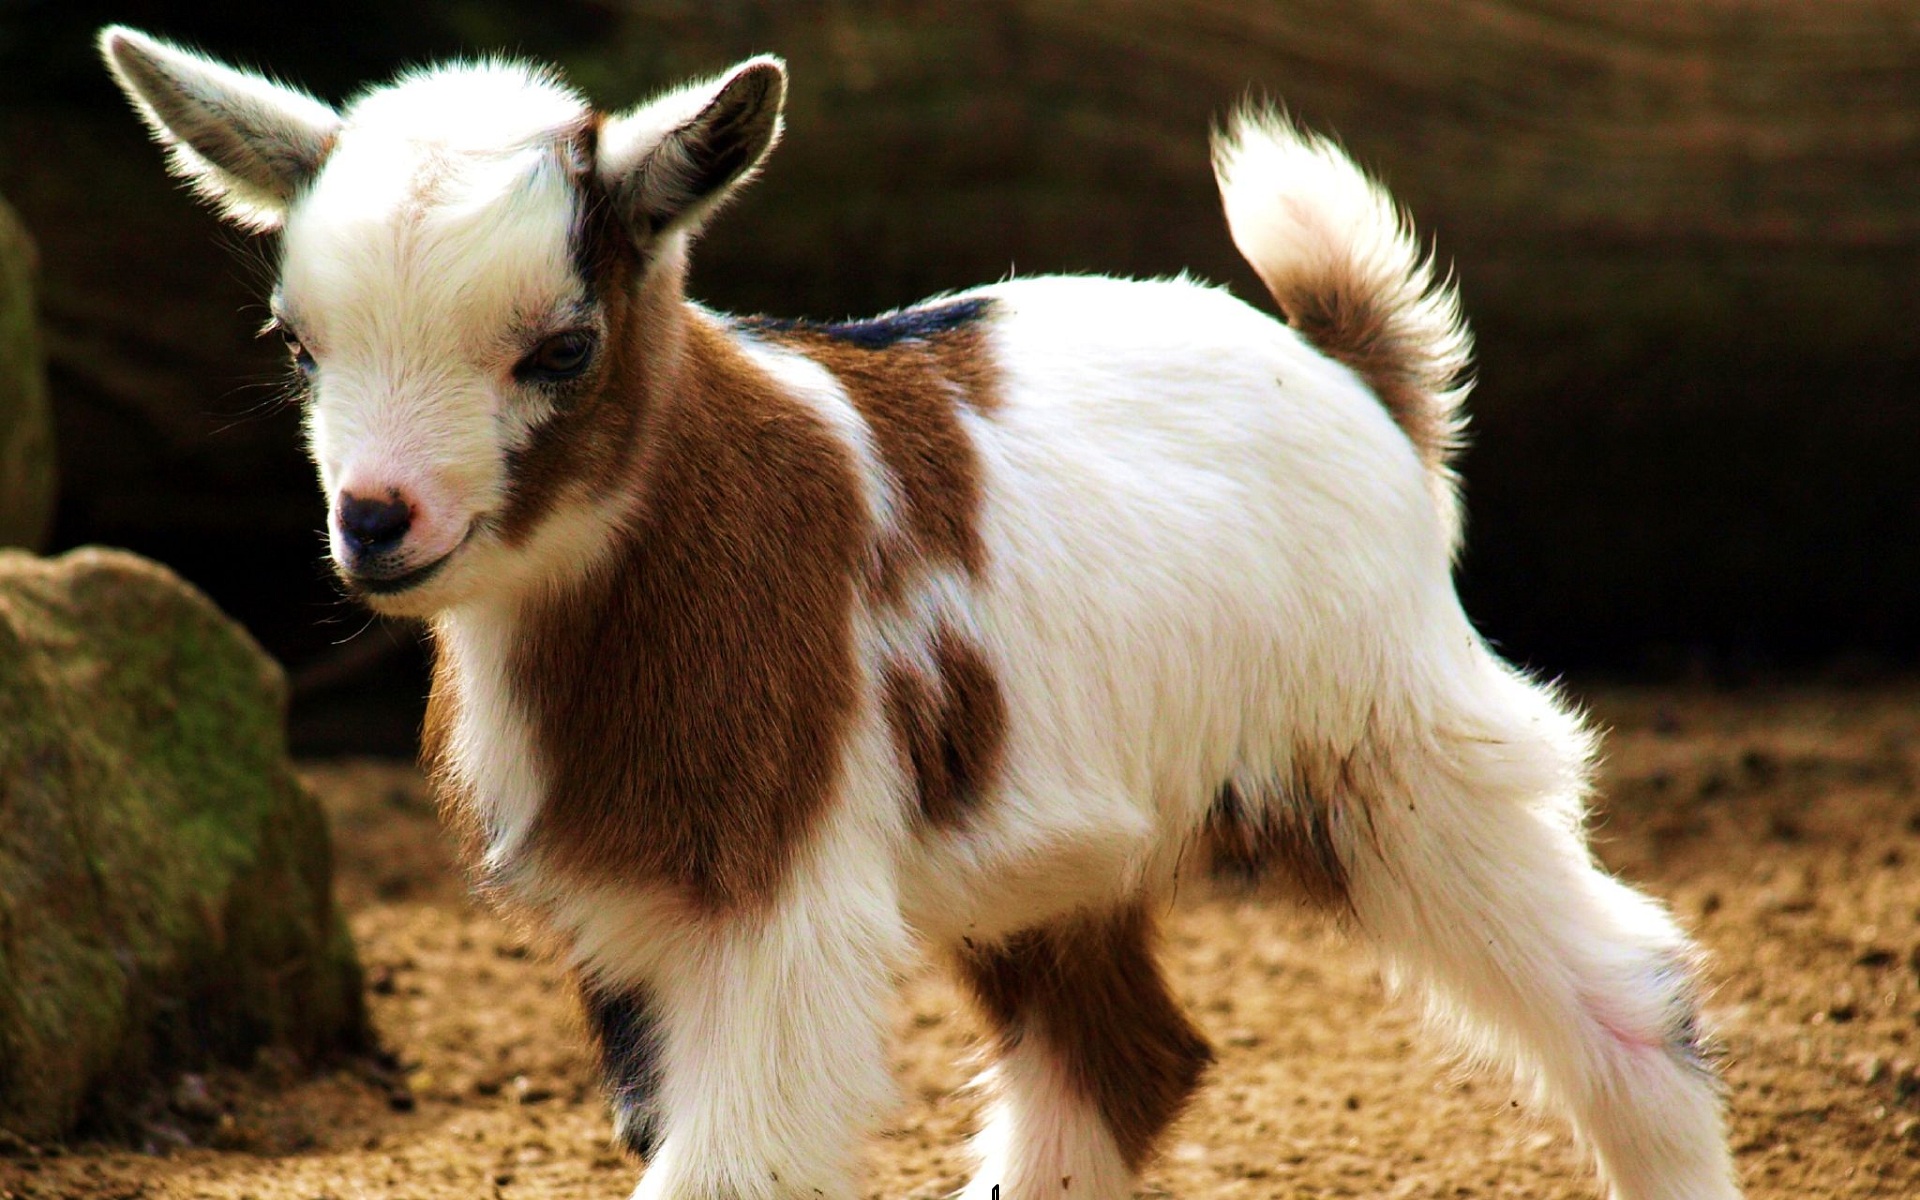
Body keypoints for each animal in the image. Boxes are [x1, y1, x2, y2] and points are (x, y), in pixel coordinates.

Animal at [101, 26, 1744, 1200]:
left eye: (561, 348)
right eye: (295, 345)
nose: (378, 522)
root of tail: (1360, 381)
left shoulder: (779, 895)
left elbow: (742, 1163)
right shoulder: (630, 913)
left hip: (1392, 749)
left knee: (1633, 998)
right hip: (1056, 846)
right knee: (1123, 1063)